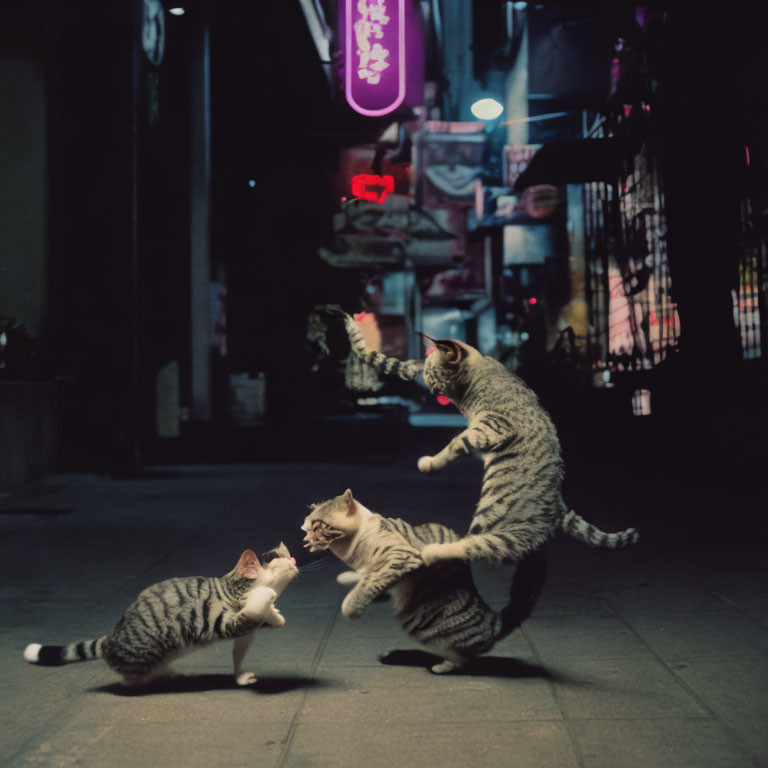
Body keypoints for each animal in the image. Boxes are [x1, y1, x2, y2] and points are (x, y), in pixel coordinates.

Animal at [22, 544, 298, 688]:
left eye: (287, 556)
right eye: (278, 560)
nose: (295, 559)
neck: (229, 589)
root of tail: (113, 635)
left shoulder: (246, 632)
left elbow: (239, 653)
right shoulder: (225, 621)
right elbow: (255, 605)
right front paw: (266, 597)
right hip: (140, 658)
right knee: (129, 678)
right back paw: (152, 677)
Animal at [300, 492, 544, 672]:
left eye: (318, 524)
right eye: (307, 524)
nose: (304, 534)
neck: (354, 549)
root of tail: (493, 623)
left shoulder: (400, 557)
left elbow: (369, 584)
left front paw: (352, 607)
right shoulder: (376, 566)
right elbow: (366, 577)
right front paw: (348, 578)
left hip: (424, 626)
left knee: (463, 657)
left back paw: (440, 667)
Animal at [320, 304, 640, 568]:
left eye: (433, 375)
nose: (431, 389)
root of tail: (558, 505)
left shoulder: (493, 424)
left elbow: (455, 442)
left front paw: (431, 463)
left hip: (498, 521)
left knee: (480, 548)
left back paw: (431, 551)